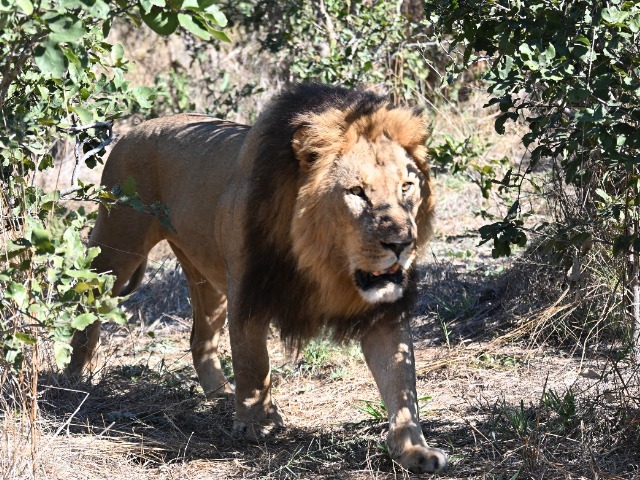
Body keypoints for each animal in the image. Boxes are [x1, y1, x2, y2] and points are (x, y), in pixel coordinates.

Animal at [68, 83, 446, 473]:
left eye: (406, 187)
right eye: (356, 192)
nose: (401, 243)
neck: (326, 263)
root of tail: (133, 131)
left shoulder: (385, 311)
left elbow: (401, 383)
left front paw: (415, 451)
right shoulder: (248, 290)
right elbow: (253, 361)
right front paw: (257, 424)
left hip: (205, 278)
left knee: (200, 338)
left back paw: (220, 394)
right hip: (117, 245)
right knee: (86, 302)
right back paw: (77, 377)